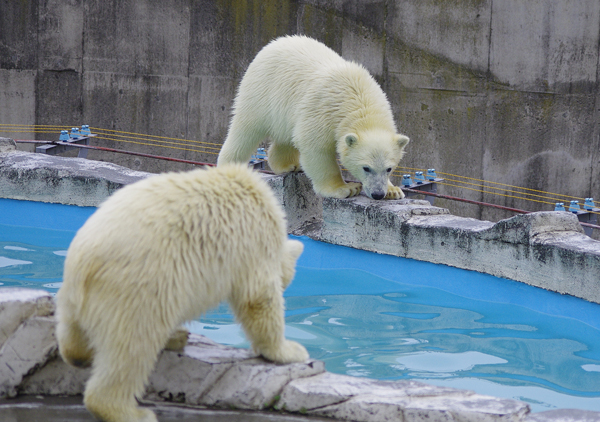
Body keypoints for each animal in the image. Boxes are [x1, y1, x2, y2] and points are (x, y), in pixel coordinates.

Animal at [54, 164, 308, 422]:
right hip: (136, 288)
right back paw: (132, 412)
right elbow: (258, 297)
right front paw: (290, 350)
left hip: (76, 294)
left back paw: (81, 354)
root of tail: (84, 264)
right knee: (133, 346)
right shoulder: (254, 240)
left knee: (73, 332)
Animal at [218, 35, 410, 200]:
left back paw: (289, 165)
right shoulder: (323, 109)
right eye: (366, 168)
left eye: (389, 168)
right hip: (260, 92)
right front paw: (345, 189)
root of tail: (273, 43)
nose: (378, 194)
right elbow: (316, 148)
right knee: (245, 131)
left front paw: (393, 190)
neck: (359, 99)